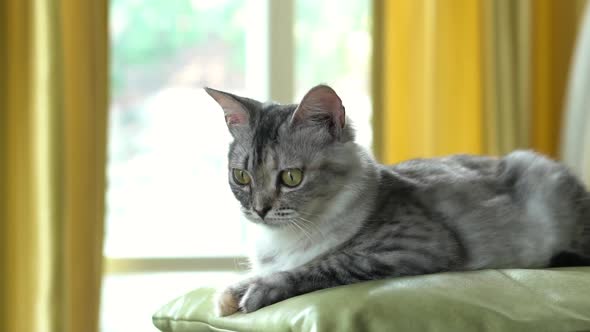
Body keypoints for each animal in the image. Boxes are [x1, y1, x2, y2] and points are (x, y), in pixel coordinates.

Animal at [205, 84, 590, 316]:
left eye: (291, 178)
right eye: (241, 176)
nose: (259, 210)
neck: (280, 240)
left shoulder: (412, 244)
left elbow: (322, 264)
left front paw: (258, 291)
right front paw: (231, 294)